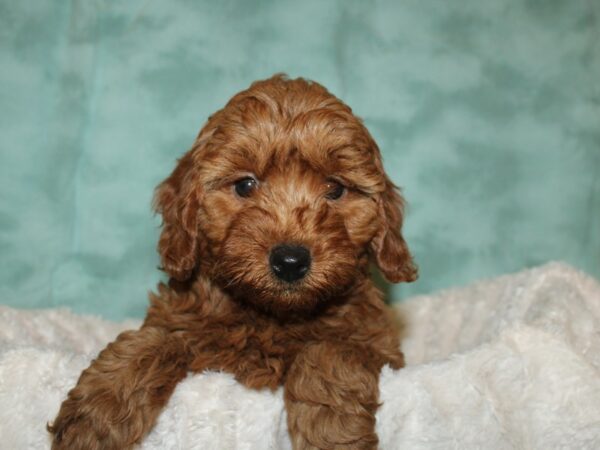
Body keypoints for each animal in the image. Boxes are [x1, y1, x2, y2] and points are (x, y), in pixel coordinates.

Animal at [48, 74, 418, 450]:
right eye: (244, 185)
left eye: (335, 189)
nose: (290, 260)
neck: (271, 315)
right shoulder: (181, 318)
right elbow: (157, 339)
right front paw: (98, 411)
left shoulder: (378, 344)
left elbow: (331, 351)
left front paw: (332, 430)